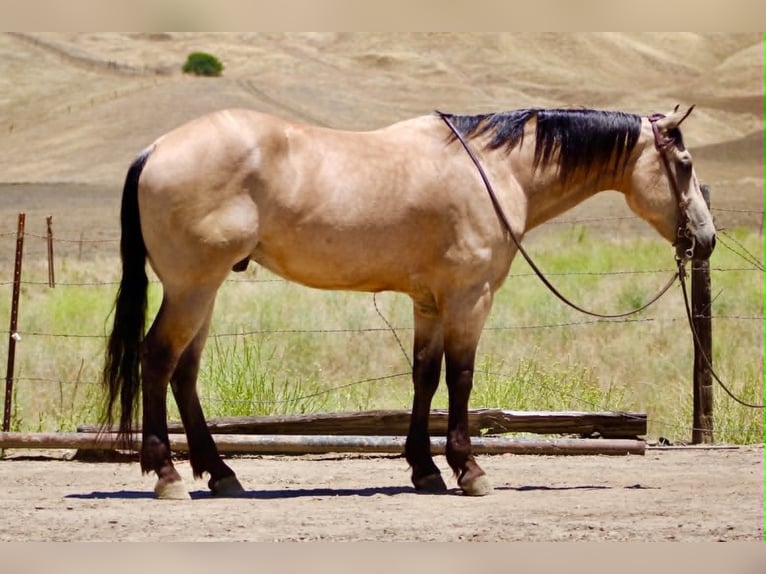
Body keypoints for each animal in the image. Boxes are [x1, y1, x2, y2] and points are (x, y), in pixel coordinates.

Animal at [102, 105, 716, 499]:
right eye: (684, 166)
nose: (706, 239)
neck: (495, 170)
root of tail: (155, 149)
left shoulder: (430, 302)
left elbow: (425, 376)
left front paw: (424, 469)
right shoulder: (470, 298)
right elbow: (461, 377)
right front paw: (469, 470)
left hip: (203, 291)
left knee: (184, 374)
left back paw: (222, 474)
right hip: (193, 287)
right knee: (157, 359)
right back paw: (168, 476)